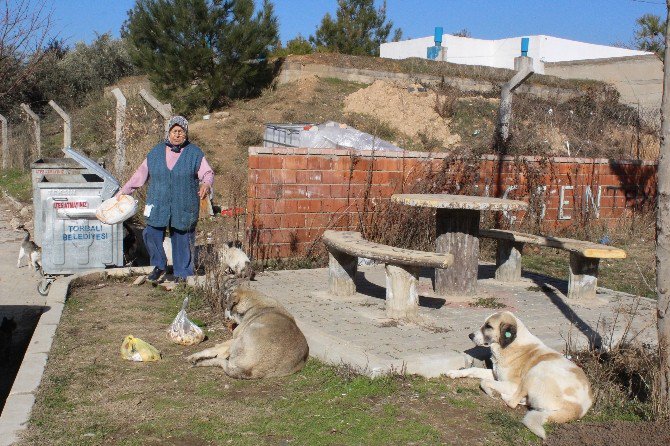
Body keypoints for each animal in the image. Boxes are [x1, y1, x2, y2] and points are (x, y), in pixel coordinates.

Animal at [446, 310, 592, 440]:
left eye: (488, 326)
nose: (470, 335)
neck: (510, 344)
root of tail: (578, 409)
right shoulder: (495, 374)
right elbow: (473, 370)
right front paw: (455, 373)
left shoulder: (512, 385)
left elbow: (483, 382)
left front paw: (490, 392)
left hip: (537, 370)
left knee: (512, 402)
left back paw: (504, 396)